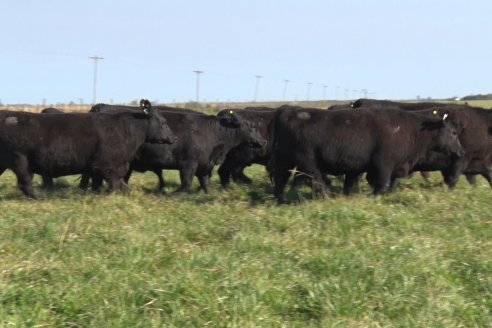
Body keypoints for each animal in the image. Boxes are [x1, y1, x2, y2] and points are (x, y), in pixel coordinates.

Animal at [0, 100, 176, 197]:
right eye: (163, 123)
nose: (174, 138)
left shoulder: (105, 168)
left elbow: (123, 186)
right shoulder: (109, 166)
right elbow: (114, 186)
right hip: (20, 161)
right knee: (26, 185)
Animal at [270, 106, 466, 202]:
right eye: (453, 133)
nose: (461, 151)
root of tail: (287, 111)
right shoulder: (383, 165)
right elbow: (382, 184)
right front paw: (372, 197)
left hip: (284, 161)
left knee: (280, 180)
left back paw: (281, 200)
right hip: (308, 162)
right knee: (316, 182)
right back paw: (325, 199)